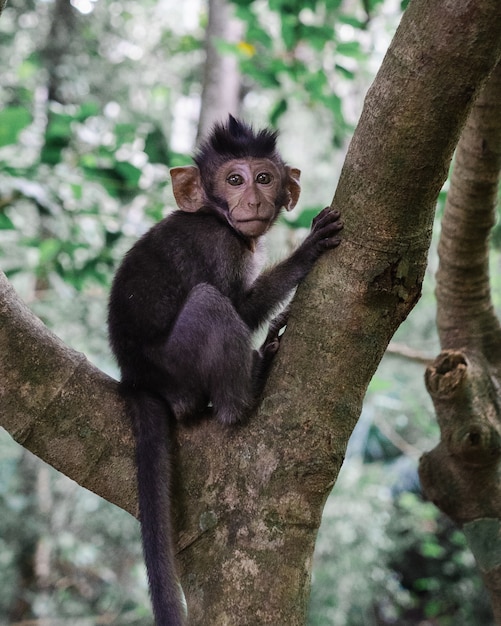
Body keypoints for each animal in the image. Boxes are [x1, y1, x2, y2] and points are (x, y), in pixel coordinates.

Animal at [108, 114, 344, 620]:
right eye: (234, 180)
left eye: (264, 178)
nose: (252, 200)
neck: (214, 217)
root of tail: (135, 379)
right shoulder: (218, 244)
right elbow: (238, 305)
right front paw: (307, 250)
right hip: (178, 368)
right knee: (209, 304)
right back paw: (248, 391)